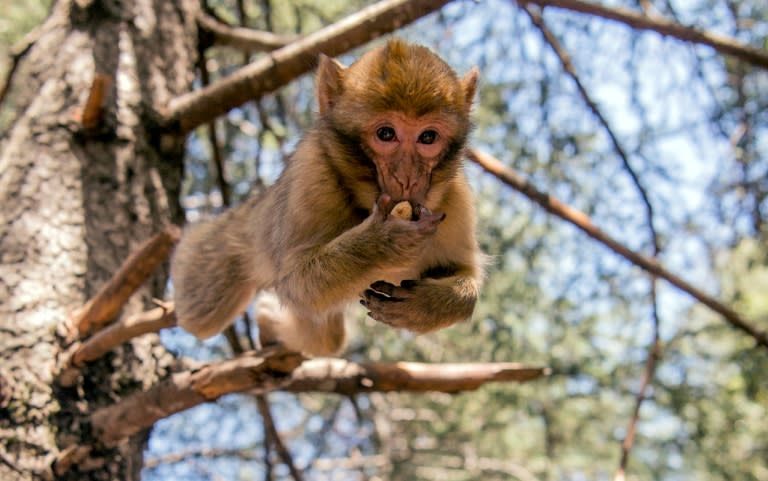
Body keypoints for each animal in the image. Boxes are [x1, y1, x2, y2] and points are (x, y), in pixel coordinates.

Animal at [173, 37, 484, 354]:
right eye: (386, 134)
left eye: (428, 137)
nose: (407, 178)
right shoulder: (312, 174)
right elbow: (296, 283)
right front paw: (383, 243)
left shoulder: (455, 199)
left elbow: (464, 273)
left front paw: (424, 306)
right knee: (202, 314)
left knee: (326, 338)